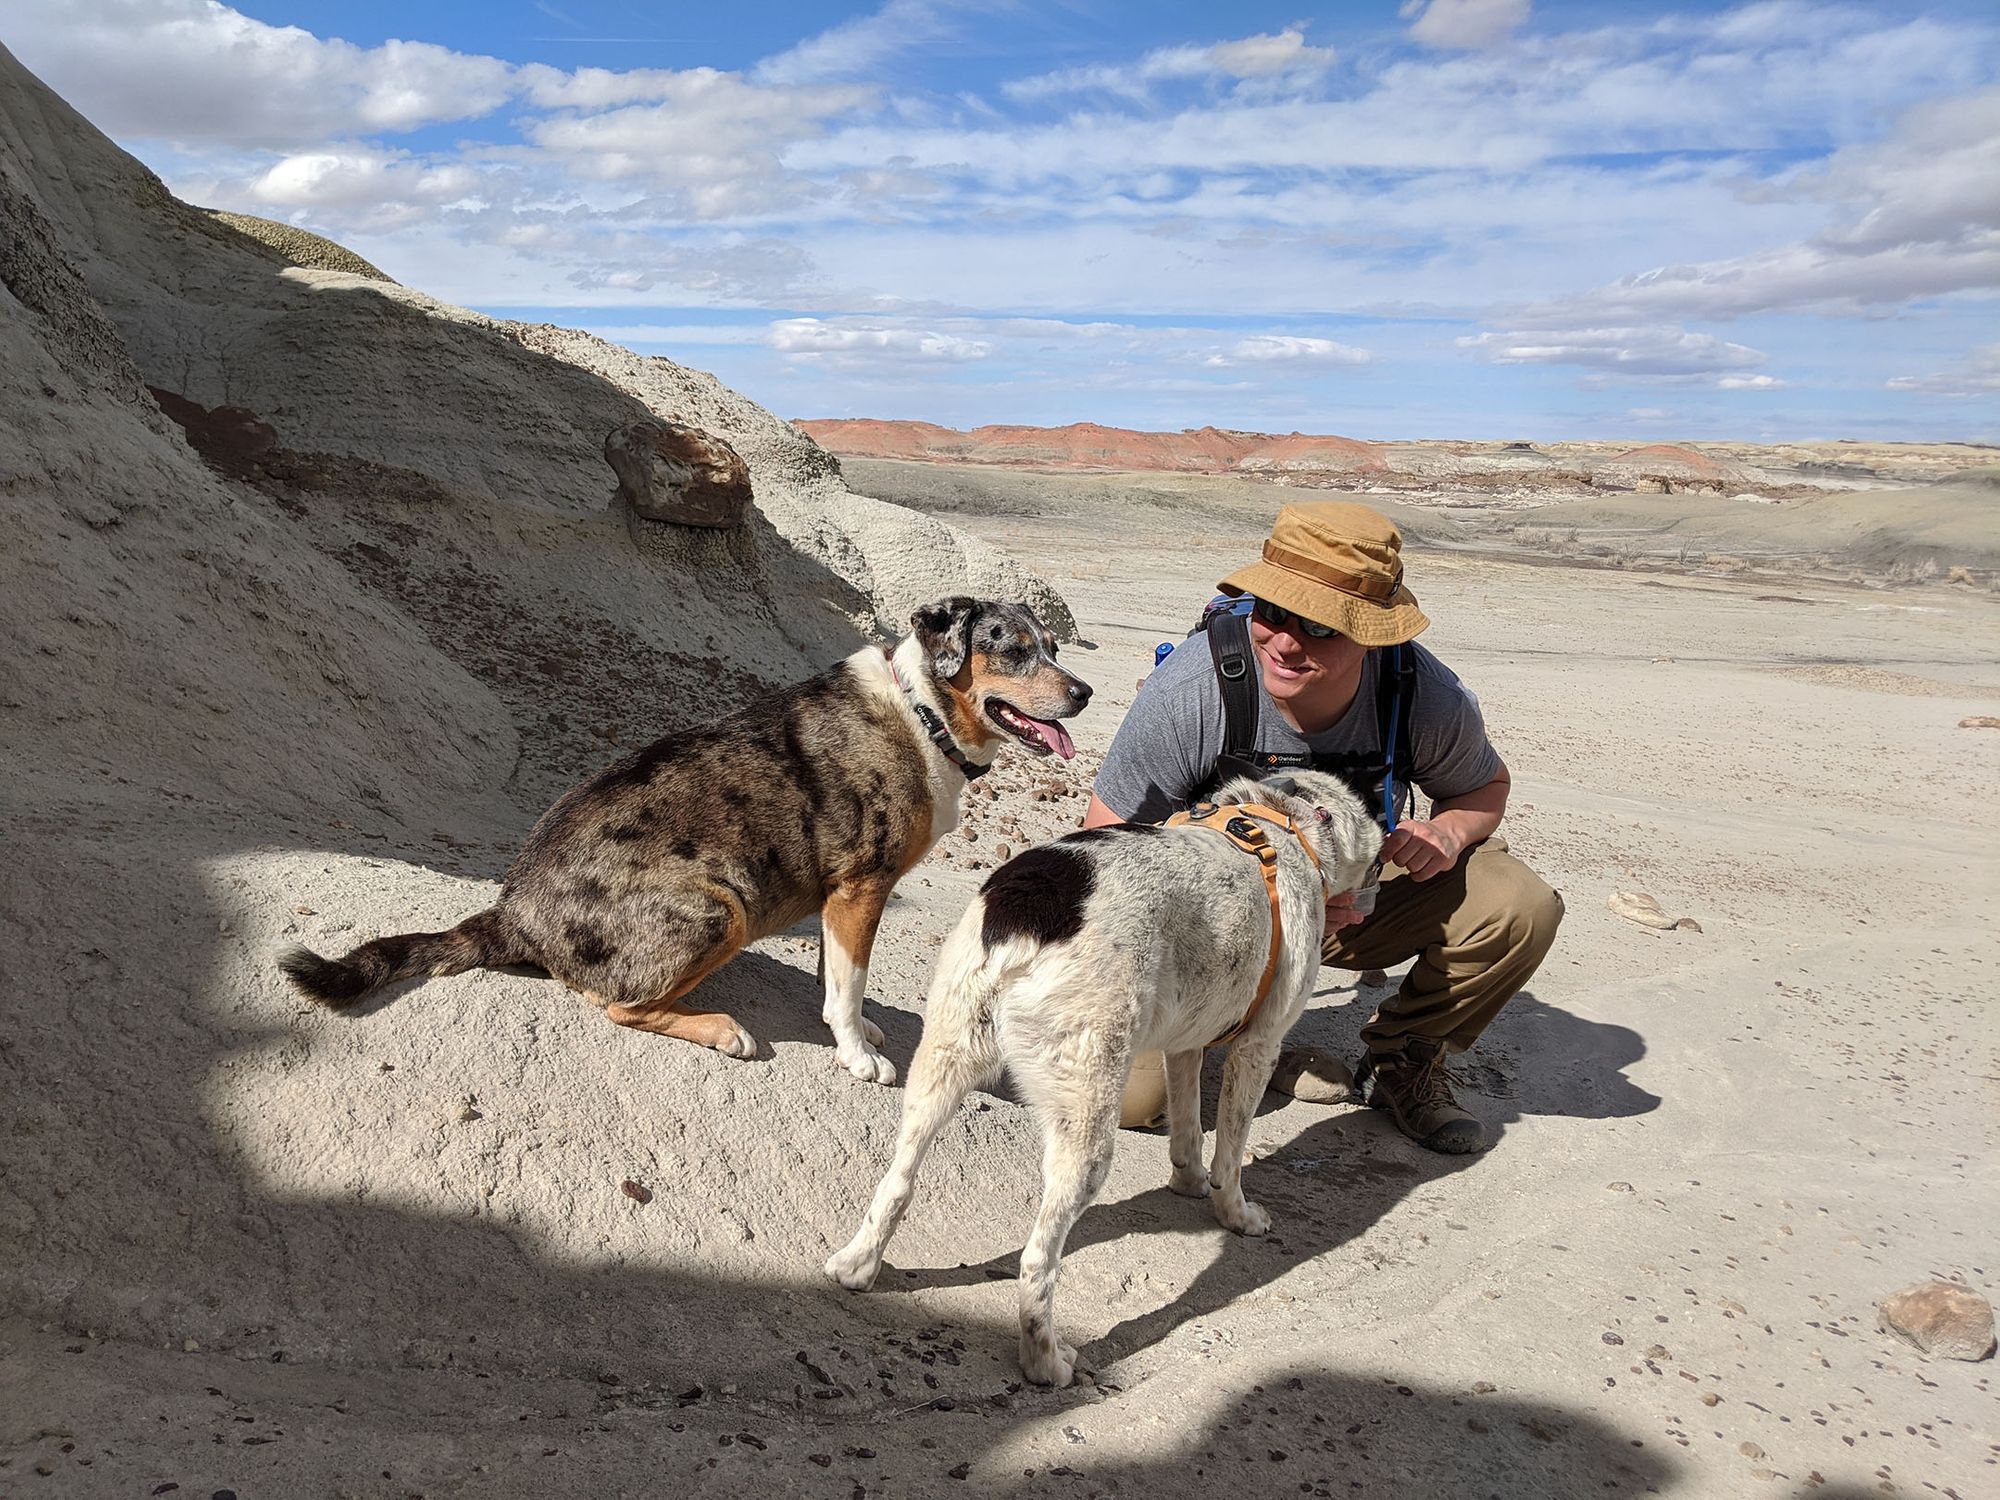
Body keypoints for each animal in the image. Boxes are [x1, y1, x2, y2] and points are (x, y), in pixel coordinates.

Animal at [278, 596, 1096, 1080]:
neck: (924, 711)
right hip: (719, 906)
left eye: (1054, 646)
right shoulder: (862, 885)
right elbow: (847, 984)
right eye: (1014, 650)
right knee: (618, 1006)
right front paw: (857, 1054)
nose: (1085, 693)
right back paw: (721, 1028)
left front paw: (859, 1030)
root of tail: (513, 909)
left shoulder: (842, 898)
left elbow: (838, 978)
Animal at [824, 768, 1376, 1392]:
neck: (1284, 818)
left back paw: (858, 1264)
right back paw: (1044, 1359)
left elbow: (1188, 1129)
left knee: (897, 1182)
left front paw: (1188, 1181)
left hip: (942, 1060)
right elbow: (1230, 1154)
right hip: (1087, 1116)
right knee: (1036, 1260)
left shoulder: (1185, 1043)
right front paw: (1234, 1213)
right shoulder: (1258, 1047)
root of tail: (1029, 908)